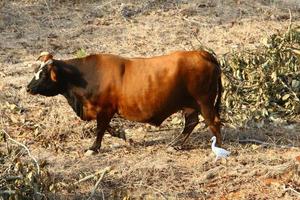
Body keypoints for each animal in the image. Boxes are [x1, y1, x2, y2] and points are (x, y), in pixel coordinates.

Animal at [26, 50, 223, 152]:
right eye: (36, 70)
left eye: (43, 74)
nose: (28, 88)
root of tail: (202, 53)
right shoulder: (103, 110)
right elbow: (108, 128)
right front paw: (123, 136)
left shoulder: (105, 109)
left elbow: (100, 129)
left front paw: (93, 148)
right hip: (190, 105)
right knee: (191, 123)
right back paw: (175, 145)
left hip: (204, 102)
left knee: (214, 122)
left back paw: (219, 146)